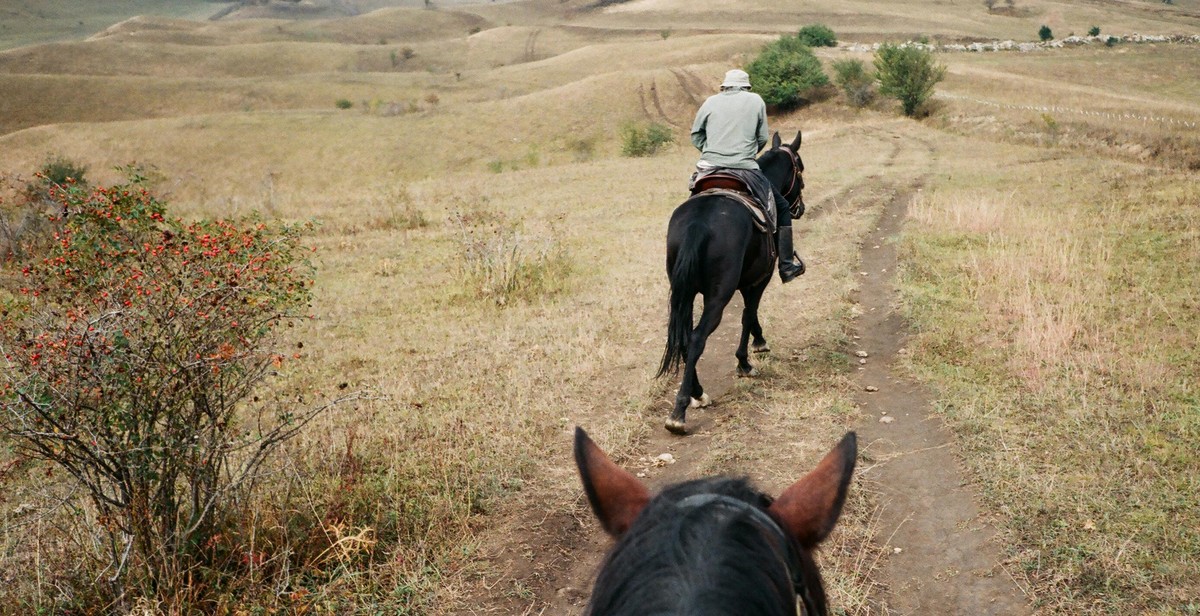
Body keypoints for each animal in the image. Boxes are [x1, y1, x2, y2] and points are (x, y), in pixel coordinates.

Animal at [657, 128, 806, 432]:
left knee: (685, 338)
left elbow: (750, 314)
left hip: (684, 292)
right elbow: (749, 314)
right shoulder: (759, 279)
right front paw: (746, 360)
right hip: (718, 295)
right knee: (698, 337)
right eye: (801, 168)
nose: (801, 207)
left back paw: (697, 393)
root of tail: (698, 222)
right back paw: (679, 411)